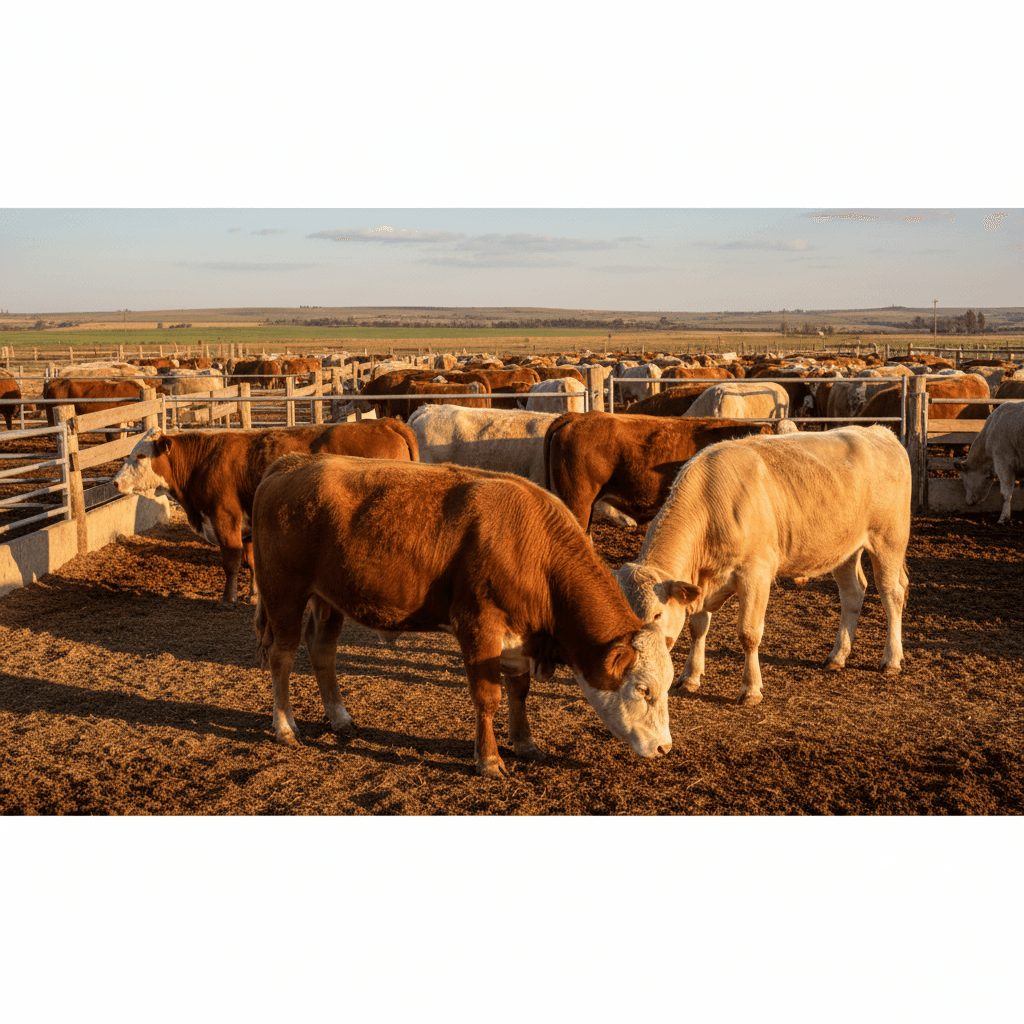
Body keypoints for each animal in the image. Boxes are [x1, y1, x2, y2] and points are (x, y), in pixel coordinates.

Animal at [113, 420, 419, 604]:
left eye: (140, 455)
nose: (115, 482)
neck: (203, 461)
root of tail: (384, 422)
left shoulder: (225, 518)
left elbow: (231, 562)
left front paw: (228, 598)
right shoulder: (249, 527)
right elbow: (252, 563)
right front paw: (253, 596)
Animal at [250, 454, 675, 775]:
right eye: (642, 689)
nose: (664, 749)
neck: (534, 552)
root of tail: (289, 463)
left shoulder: (518, 637)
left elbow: (519, 690)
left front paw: (525, 743)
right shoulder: (478, 626)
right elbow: (488, 697)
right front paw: (489, 761)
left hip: (329, 599)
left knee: (322, 651)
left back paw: (340, 718)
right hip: (284, 594)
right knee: (282, 656)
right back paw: (285, 727)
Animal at [615, 426, 911, 706]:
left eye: (657, 615)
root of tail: (878, 432)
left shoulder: (755, 574)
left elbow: (748, 633)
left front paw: (750, 689)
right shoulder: (700, 583)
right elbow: (697, 627)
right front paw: (690, 677)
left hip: (889, 539)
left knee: (892, 593)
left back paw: (891, 660)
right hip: (844, 548)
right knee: (853, 593)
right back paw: (837, 656)